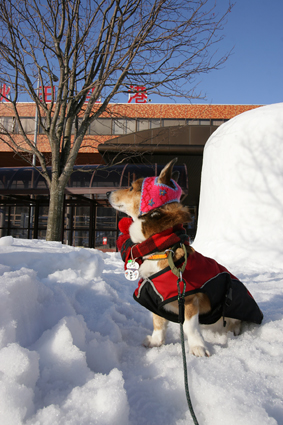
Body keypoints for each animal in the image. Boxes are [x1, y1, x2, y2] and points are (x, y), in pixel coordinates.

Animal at [107, 158, 264, 354]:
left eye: (131, 187)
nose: (108, 192)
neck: (162, 248)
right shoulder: (156, 299)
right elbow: (158, 323)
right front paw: (156, 342)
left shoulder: (189, 299)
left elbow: (190, 327)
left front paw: (197, 347)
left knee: (235, 322)